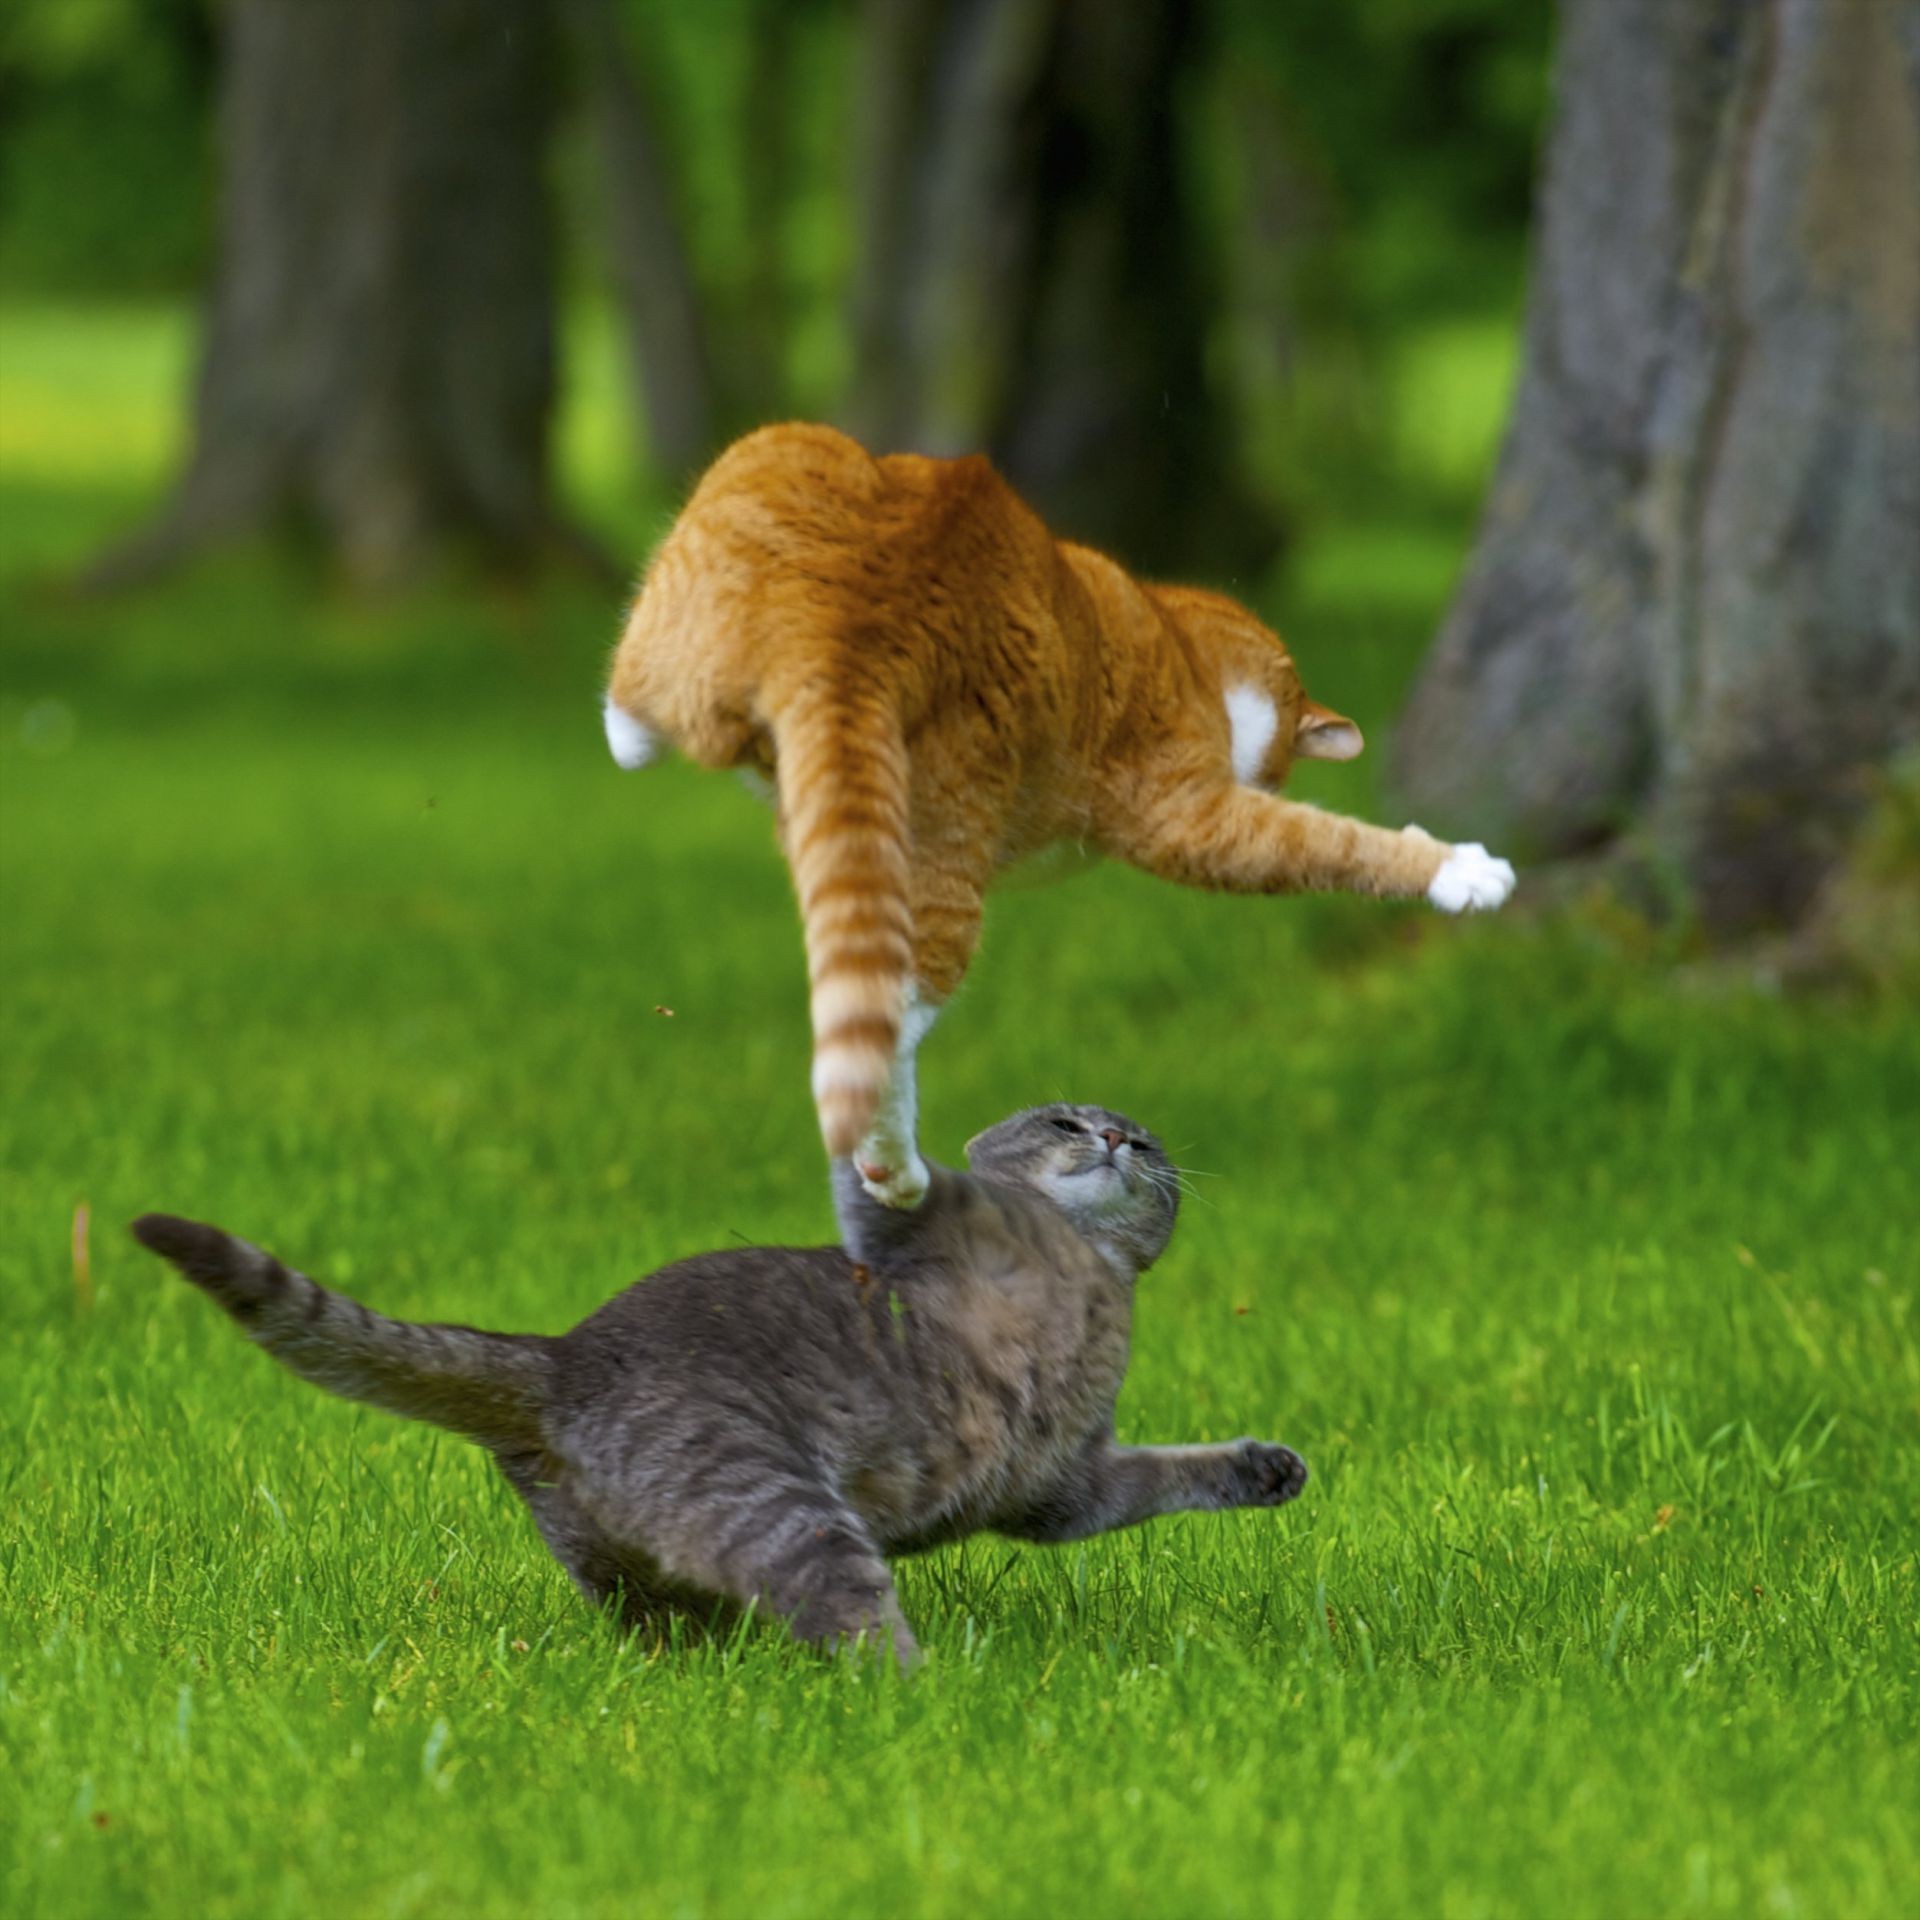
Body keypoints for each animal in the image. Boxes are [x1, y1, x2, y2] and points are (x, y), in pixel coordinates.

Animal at [131, 1105, 1305, 1674]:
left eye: (1143, 1141)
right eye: (1064, 1122)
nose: (1112, 1137)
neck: (1084, 1269)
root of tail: (561, 1355)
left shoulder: (1062, 1483)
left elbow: (1165, 1475)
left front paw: (1267, 1467)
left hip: (646, 1566)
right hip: (788, 1507)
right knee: (858, 1631)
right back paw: (944, 1693)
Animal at [606, 424, 1520, 1198]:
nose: (1264, 778)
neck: (1184, 644)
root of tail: (860, 604)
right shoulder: (1190, 815)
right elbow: (1331, 843)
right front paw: (1464, 870)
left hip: (758, 482)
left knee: (628, 706)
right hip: (937, 861)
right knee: (883, 1035)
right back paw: (895, 1169)